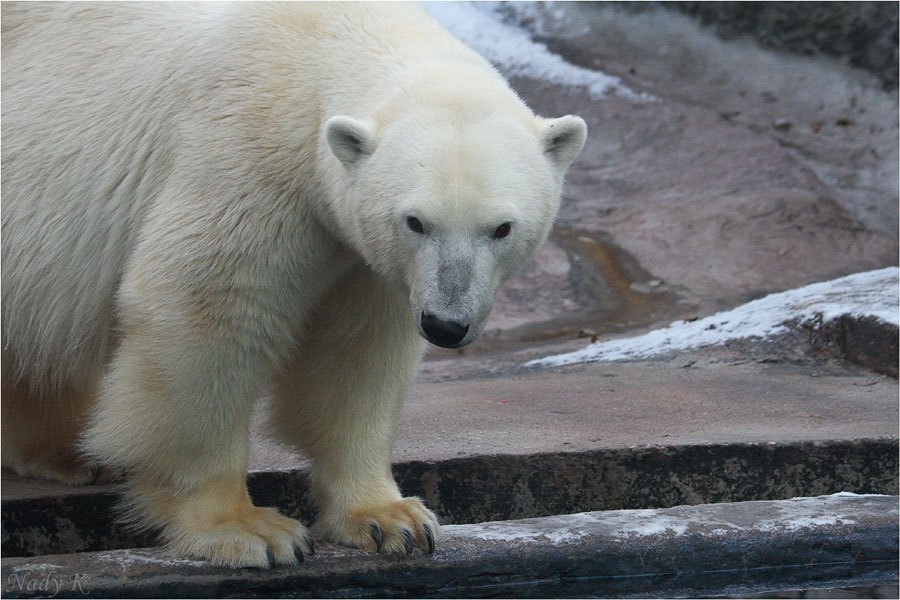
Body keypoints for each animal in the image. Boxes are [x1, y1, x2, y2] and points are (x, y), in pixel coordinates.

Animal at [0, 2, 588, 568]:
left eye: (502, 228)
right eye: (416, 221)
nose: (445, 325)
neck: (317, 53)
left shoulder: (365, 257)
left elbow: (355, 353)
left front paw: (391, 519)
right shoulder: (247, 157)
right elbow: (208, 311)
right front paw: (247, 529)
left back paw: (67, 452)